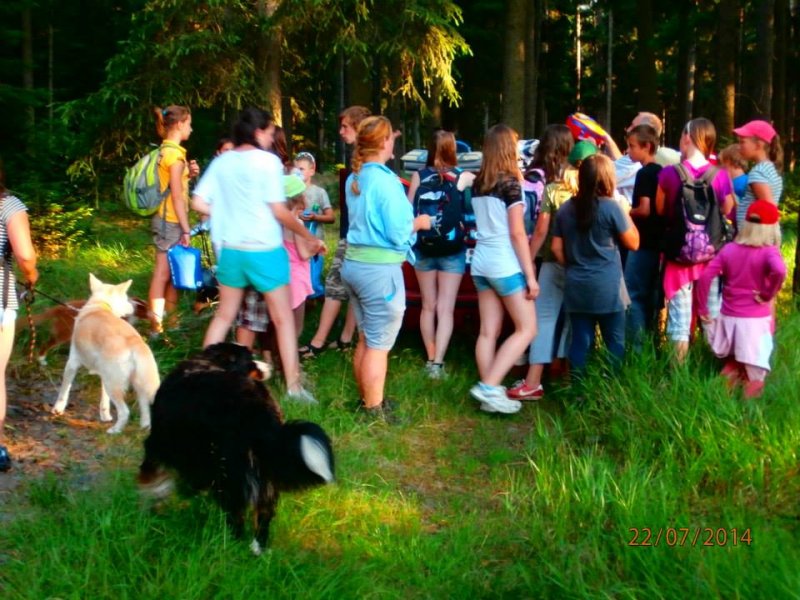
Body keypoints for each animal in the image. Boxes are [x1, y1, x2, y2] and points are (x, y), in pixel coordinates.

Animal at [17, 296, 150, 365]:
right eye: (147, 310)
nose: (154, 313)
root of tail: (60, 308)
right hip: (65, 332)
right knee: (47, 344)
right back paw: (41, 359)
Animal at [51, 274, 160, 434]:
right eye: (126, 298)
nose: (132, 307)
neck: (101, 306)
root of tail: (134, 342)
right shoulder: (104, 375)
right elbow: (105, 401)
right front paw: (105, 416)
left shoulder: (72, 363)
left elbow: (64, 390)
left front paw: (57, 409)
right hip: (135, 386)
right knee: (145, 410)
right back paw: (144, 427)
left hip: (114, 385)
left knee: (125, 412)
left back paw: (115, 431)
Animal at [137, 342, 334, 555]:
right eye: (250, 360)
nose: (270, 367)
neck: (210, 363)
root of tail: (258, 413)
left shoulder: (160, 439)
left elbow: (150, 470)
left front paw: (151, 494)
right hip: (262, 472)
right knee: (263, 513)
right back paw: (258, 548)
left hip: (229, 473)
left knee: (236, 514)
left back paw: (233, 543)